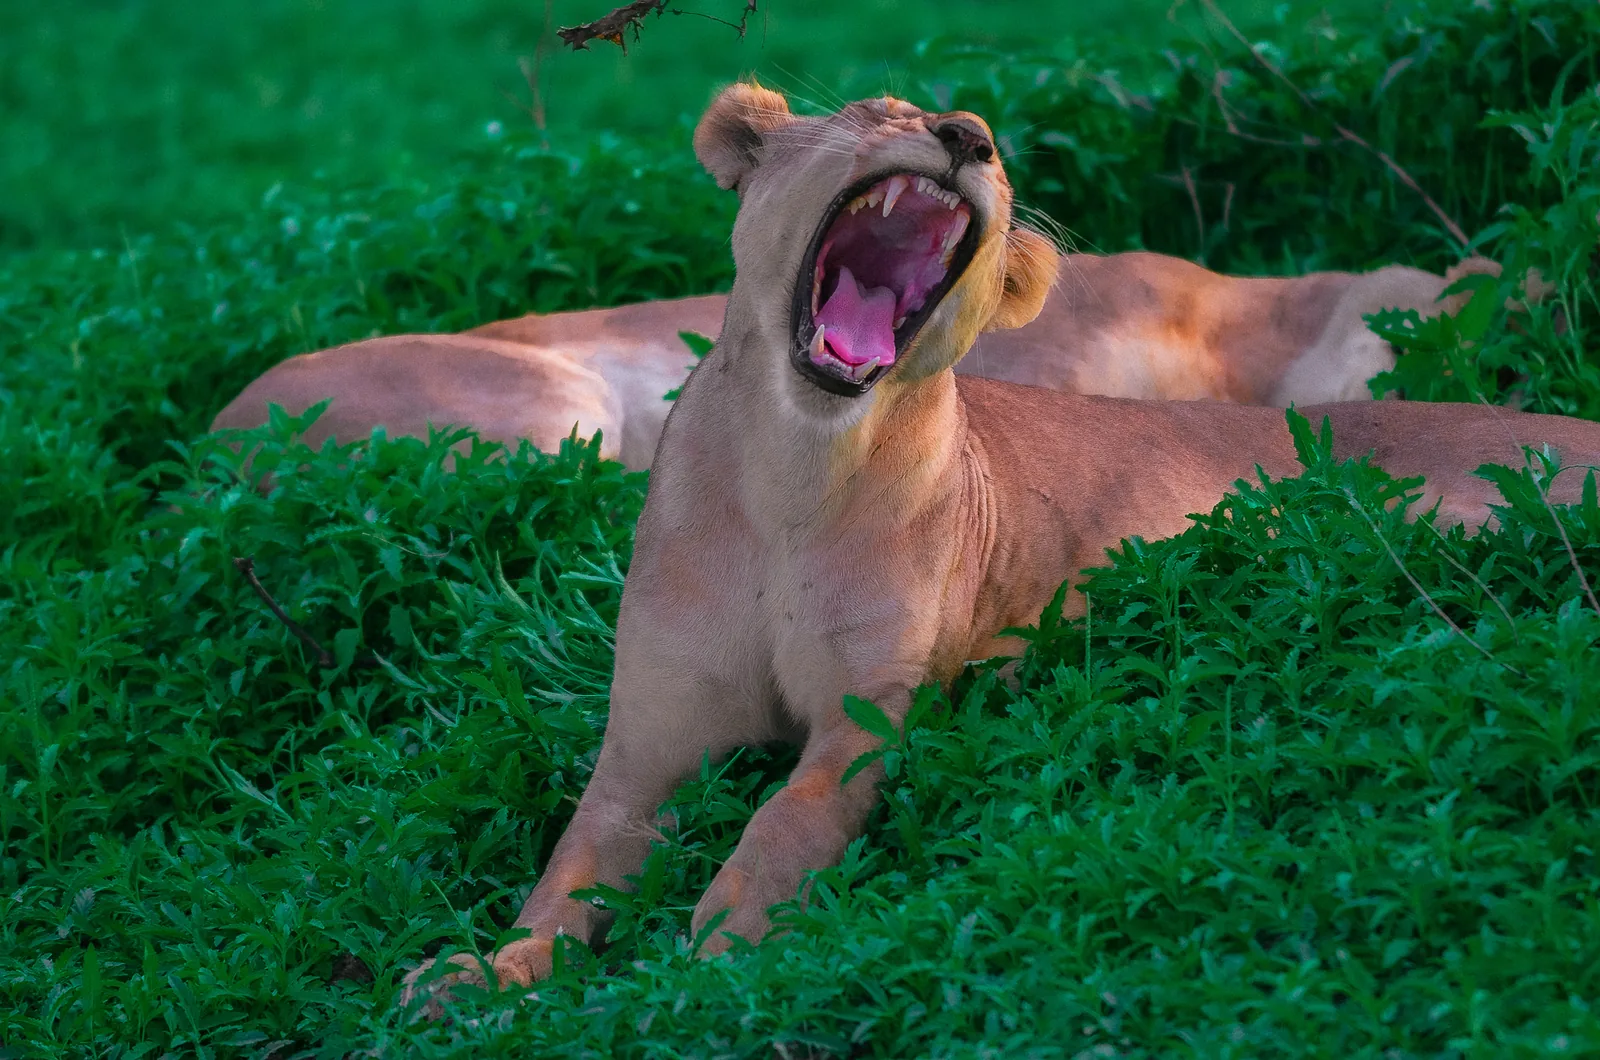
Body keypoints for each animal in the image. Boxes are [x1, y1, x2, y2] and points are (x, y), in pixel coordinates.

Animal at [400, 85, 1600, 1010]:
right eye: (879, 112)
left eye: (995, 151)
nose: (967, 135)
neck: (795, 472)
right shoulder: (643, 751)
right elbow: (565, 872)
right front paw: (472, 976)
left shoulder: (869, 715)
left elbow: (788, 820)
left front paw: (723, 948)